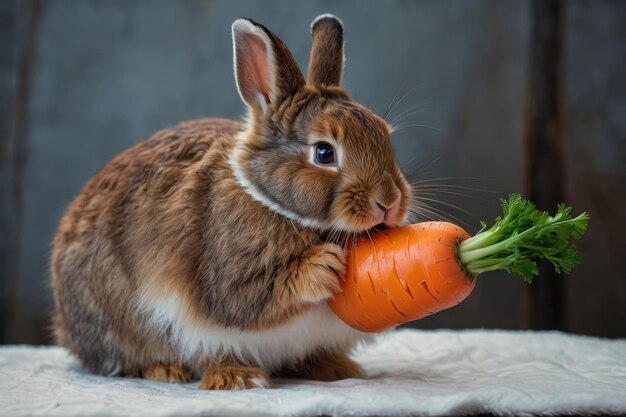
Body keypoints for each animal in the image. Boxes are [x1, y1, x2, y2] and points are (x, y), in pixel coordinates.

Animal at [51, 13, 412, 390]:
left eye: (383, 135)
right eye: (324, 153)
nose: (388, 202)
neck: (272, 201)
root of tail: (64, 328)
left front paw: (338, 368)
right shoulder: (227, 279)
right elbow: (251, 296)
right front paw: (323, 265)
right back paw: (219, 375)